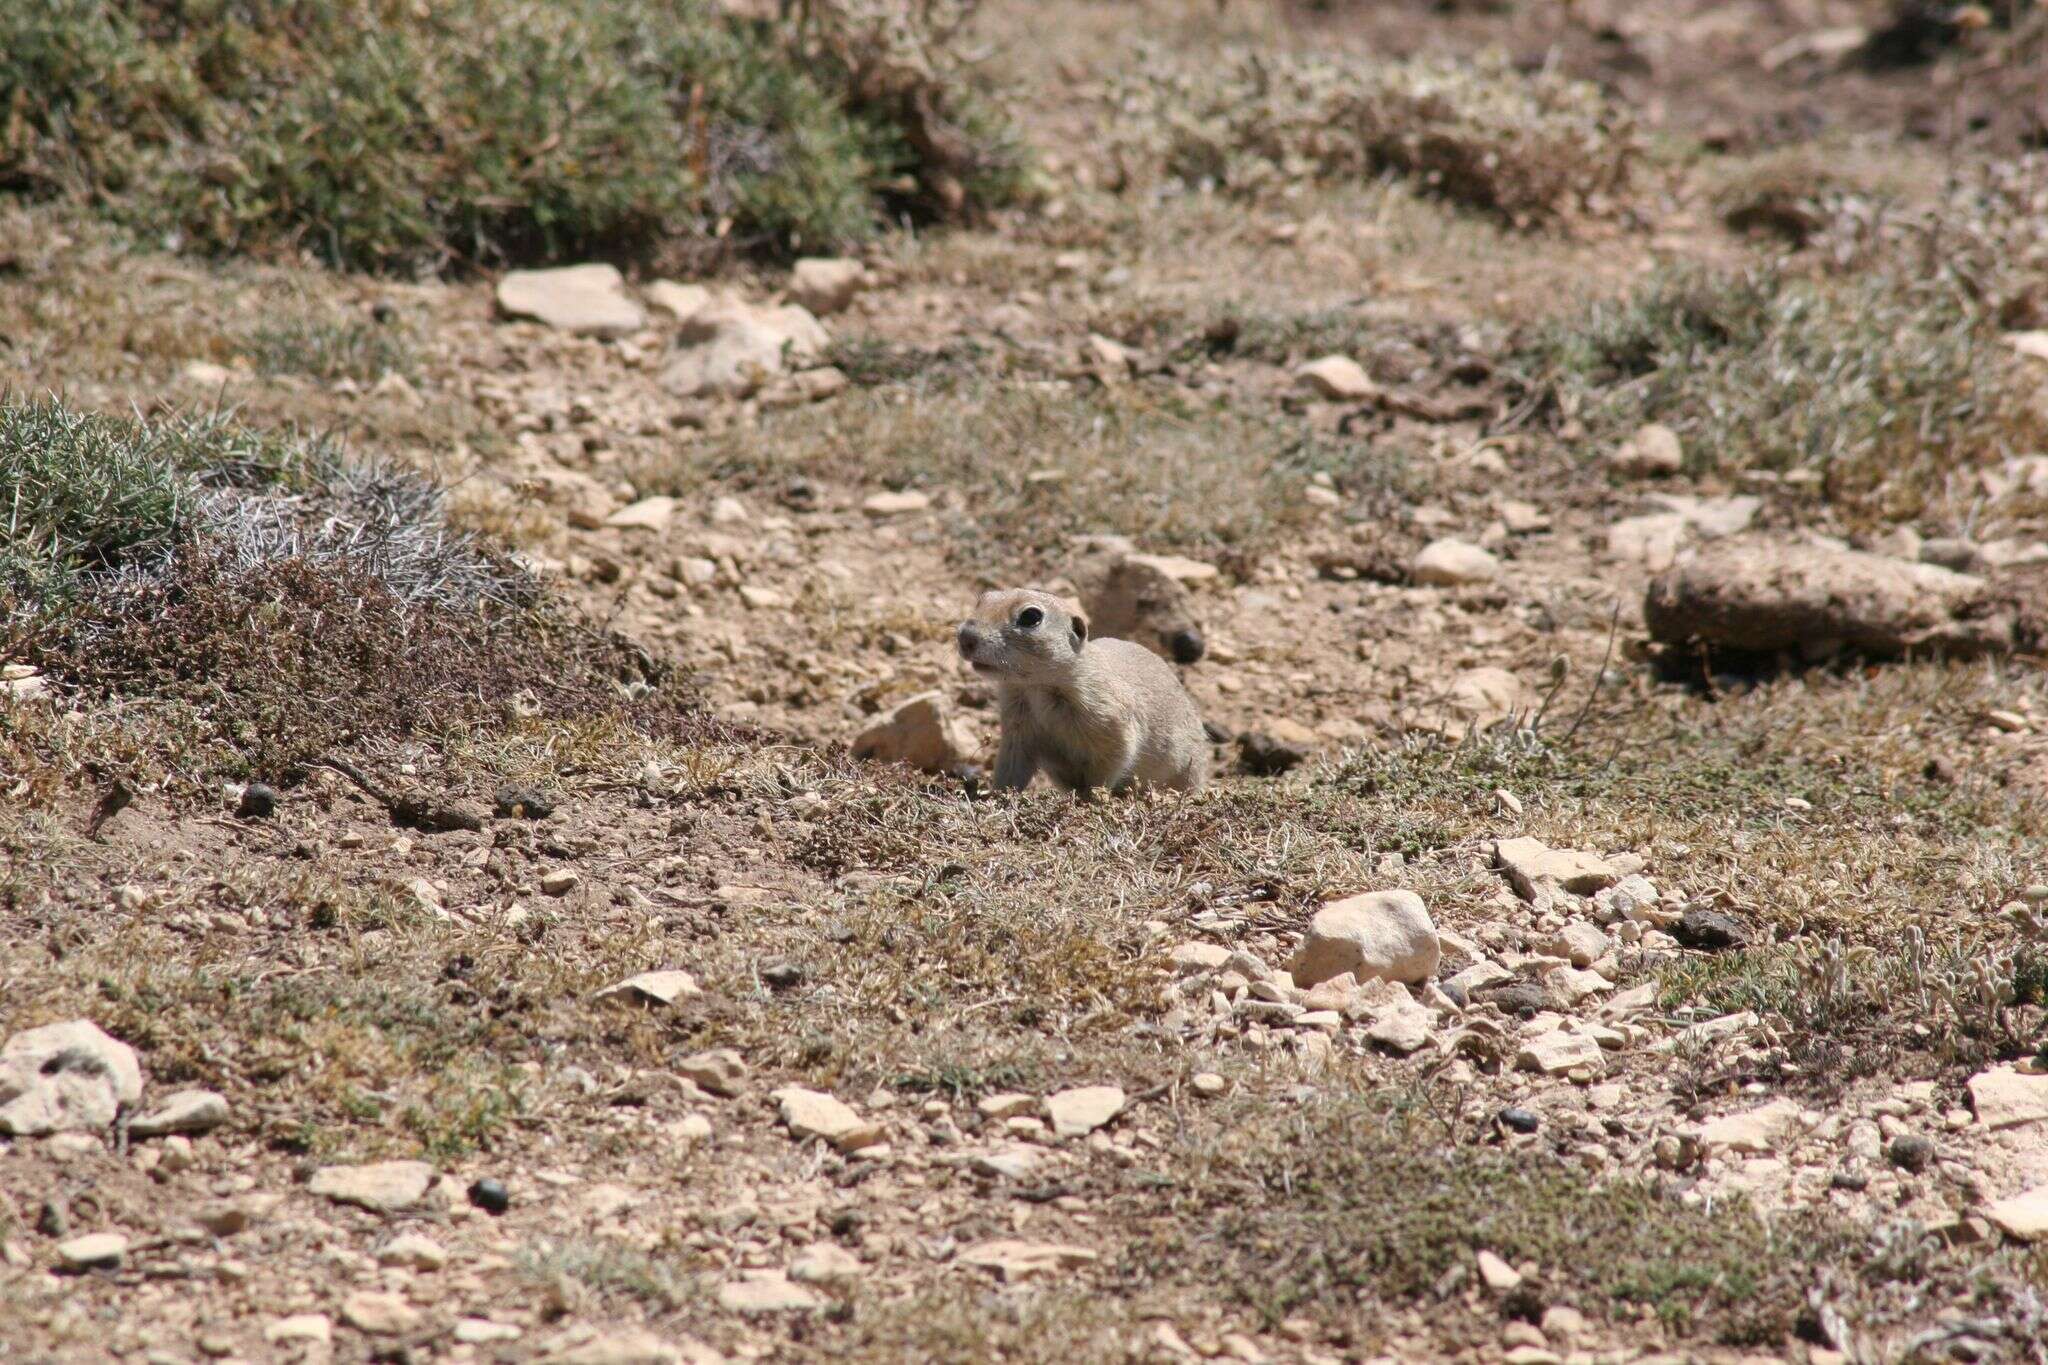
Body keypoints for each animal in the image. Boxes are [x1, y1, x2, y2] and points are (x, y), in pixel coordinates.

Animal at [954, 589, 1204, 802]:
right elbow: (1011, 768)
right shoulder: (1017, 730)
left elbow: (1109, 763)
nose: (966, 637)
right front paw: (996, 795)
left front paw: (1090, 797)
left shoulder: (1109, 721)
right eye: (983, 599)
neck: (1036, 687)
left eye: (1031, 616)